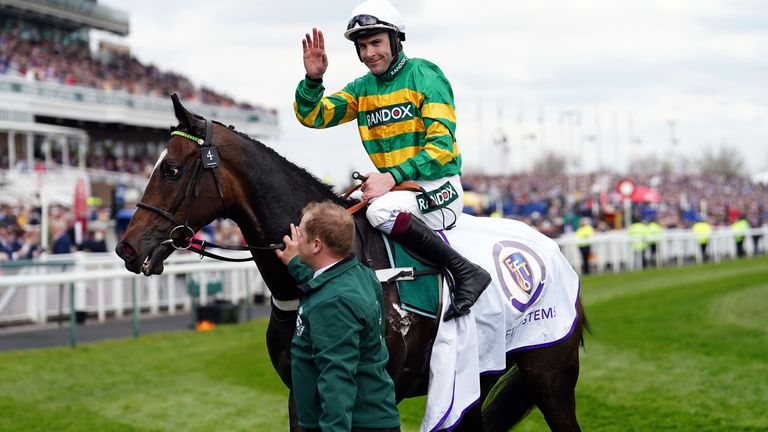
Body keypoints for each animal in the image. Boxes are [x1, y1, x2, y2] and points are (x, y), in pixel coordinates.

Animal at [114, 95, 584, 432]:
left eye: (171, 170)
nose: (126, 248)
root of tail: (552, 247)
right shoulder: (301, 395)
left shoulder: (377, 394)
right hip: (474, 376)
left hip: (550, 372)